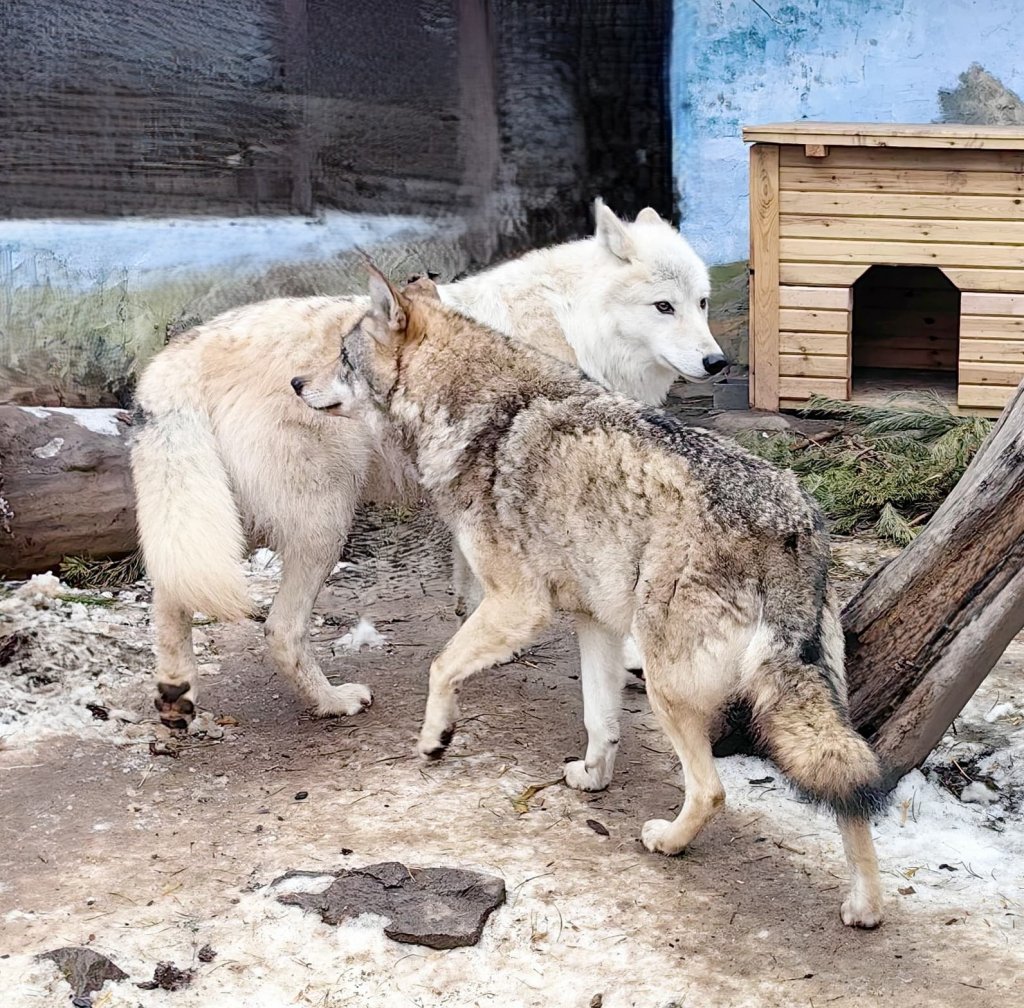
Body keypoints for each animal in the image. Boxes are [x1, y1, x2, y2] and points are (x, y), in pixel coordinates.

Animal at [130, 198, 729, 733]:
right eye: (663, 307)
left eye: (701, 303)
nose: (717, 361)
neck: (573, 324)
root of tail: (180, 355)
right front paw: (628, 660)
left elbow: (473, 586)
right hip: (323, 526)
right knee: (279, 629)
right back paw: (332, 702)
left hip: (213, 525)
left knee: (171, 596)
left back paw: (176, 697)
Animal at [299, 268, 888, 930]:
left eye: (341, 357)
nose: (295, 383)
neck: (475, 412)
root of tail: (789, 521)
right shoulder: (594, 624)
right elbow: (598, 719)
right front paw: (592, 777)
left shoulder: (516, 606)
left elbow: (440, 666)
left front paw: (435, 738)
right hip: (802, 694)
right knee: (850, 785)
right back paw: (865, 905)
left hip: (667, 685)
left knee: (712, 790)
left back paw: (668, 840)